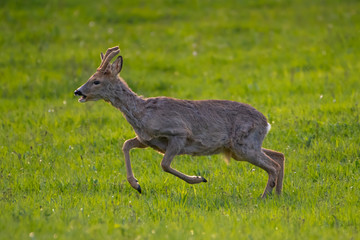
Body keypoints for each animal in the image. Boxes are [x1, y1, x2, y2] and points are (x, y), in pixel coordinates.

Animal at [74, 46, 286, 198]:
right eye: (91, 77)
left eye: (96, 81)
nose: (78, 91)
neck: (142, 112)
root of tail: (266, 122)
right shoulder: (146, 140)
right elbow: (126, 145)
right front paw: (136, 185)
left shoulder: (179, 133)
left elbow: (164, 165)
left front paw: (199, 179)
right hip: (240, 148)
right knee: (279, 156)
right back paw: (277, 195)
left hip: (244, 146)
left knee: (273, 165)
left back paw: (264, 197)